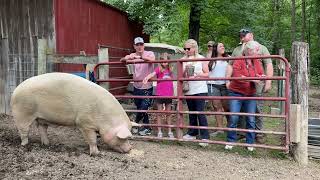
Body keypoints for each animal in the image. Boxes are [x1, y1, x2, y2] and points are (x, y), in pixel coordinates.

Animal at [9, 72, 138, 155]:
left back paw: (47, 144)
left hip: (41, 118)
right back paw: (25, 145)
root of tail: (15, 90)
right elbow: (92, 139)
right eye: (123, 138)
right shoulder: (84, 123)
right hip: (22, 113)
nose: (130, 148)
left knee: (42, 129)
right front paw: (97, 153)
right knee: (24, 131)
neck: (105, 119)